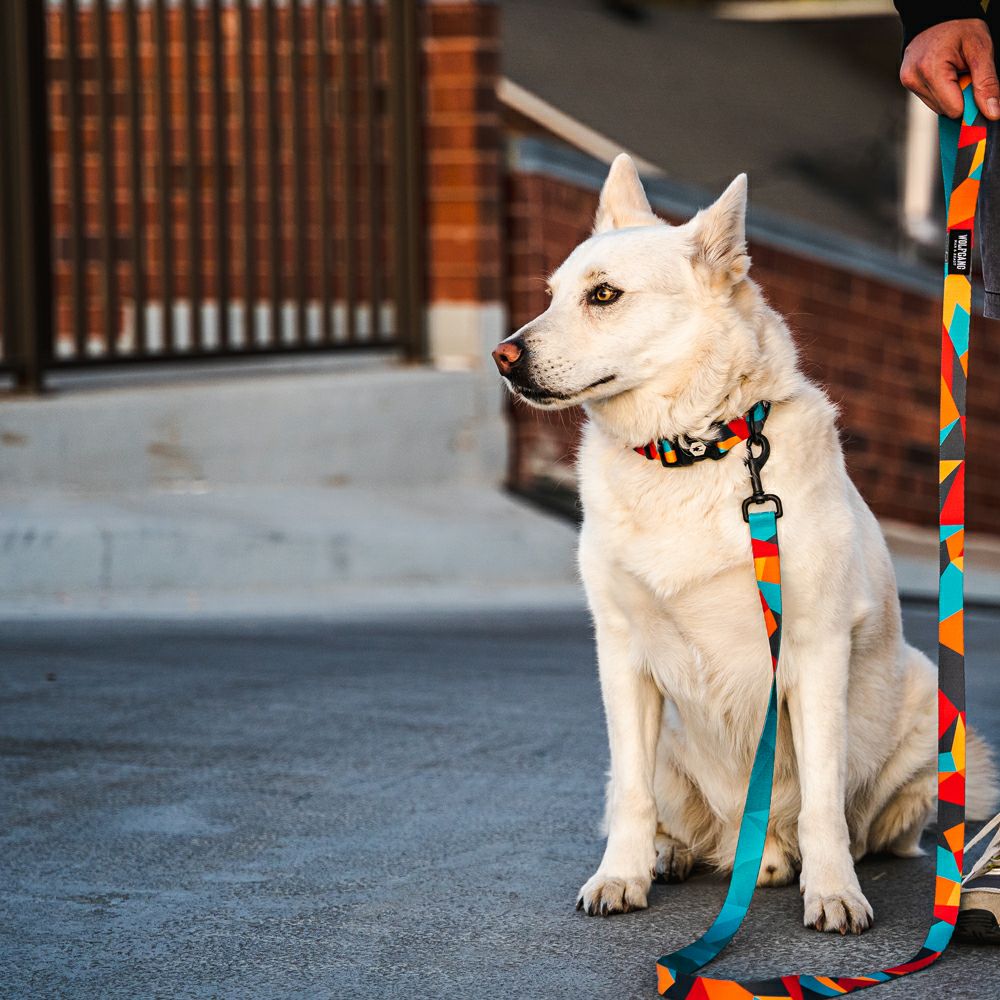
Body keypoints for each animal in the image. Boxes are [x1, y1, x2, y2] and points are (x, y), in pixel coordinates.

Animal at [492, 154, 997, 933]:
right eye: (550, 296)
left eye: (604, 295)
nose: (501, 355)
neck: (691, 451)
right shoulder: (622, 655)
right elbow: (631, 795)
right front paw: (621, 876)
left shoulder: (814, 651)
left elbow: (821, 800)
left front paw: (833, 892)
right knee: (676, 819)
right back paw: (679, 855)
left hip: (931, 712)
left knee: (851, 826)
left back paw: (784, 860)